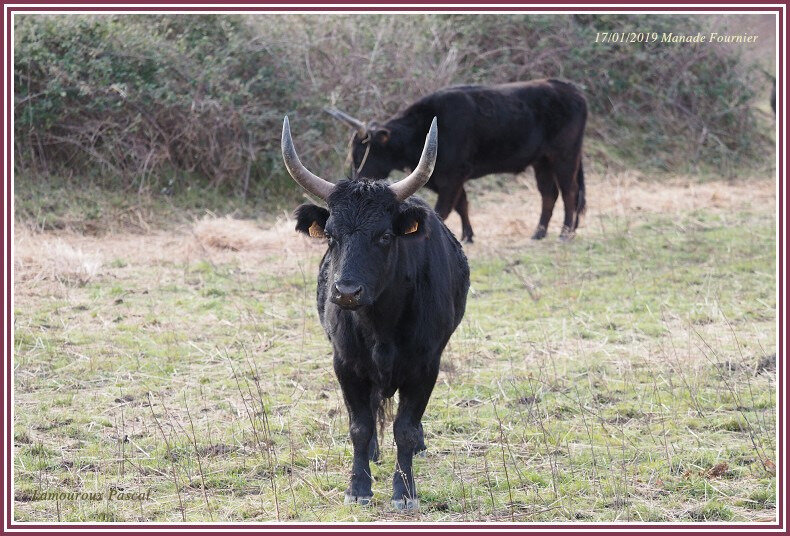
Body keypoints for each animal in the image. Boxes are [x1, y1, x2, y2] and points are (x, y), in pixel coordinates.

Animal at [284, 116, 470, 510]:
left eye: (384, 236)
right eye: (331, 236)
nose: (346, 292)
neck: (381, 326)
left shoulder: (425, 367)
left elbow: (405, 427)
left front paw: (404, 491)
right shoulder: (345, 364)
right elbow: (360, 425)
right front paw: (358, 487)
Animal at [326, 78, 588, 243]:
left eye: (362, 152)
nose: (358, 180)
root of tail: (570, 89)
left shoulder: (452, 177)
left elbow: (445, 208)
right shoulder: (451, 179)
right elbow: (463, 204)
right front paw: (468, 236)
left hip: (565, 156)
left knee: (569, 191)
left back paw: (565, 233)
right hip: (542, 161)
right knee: (549, 194)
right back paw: (539, 233)